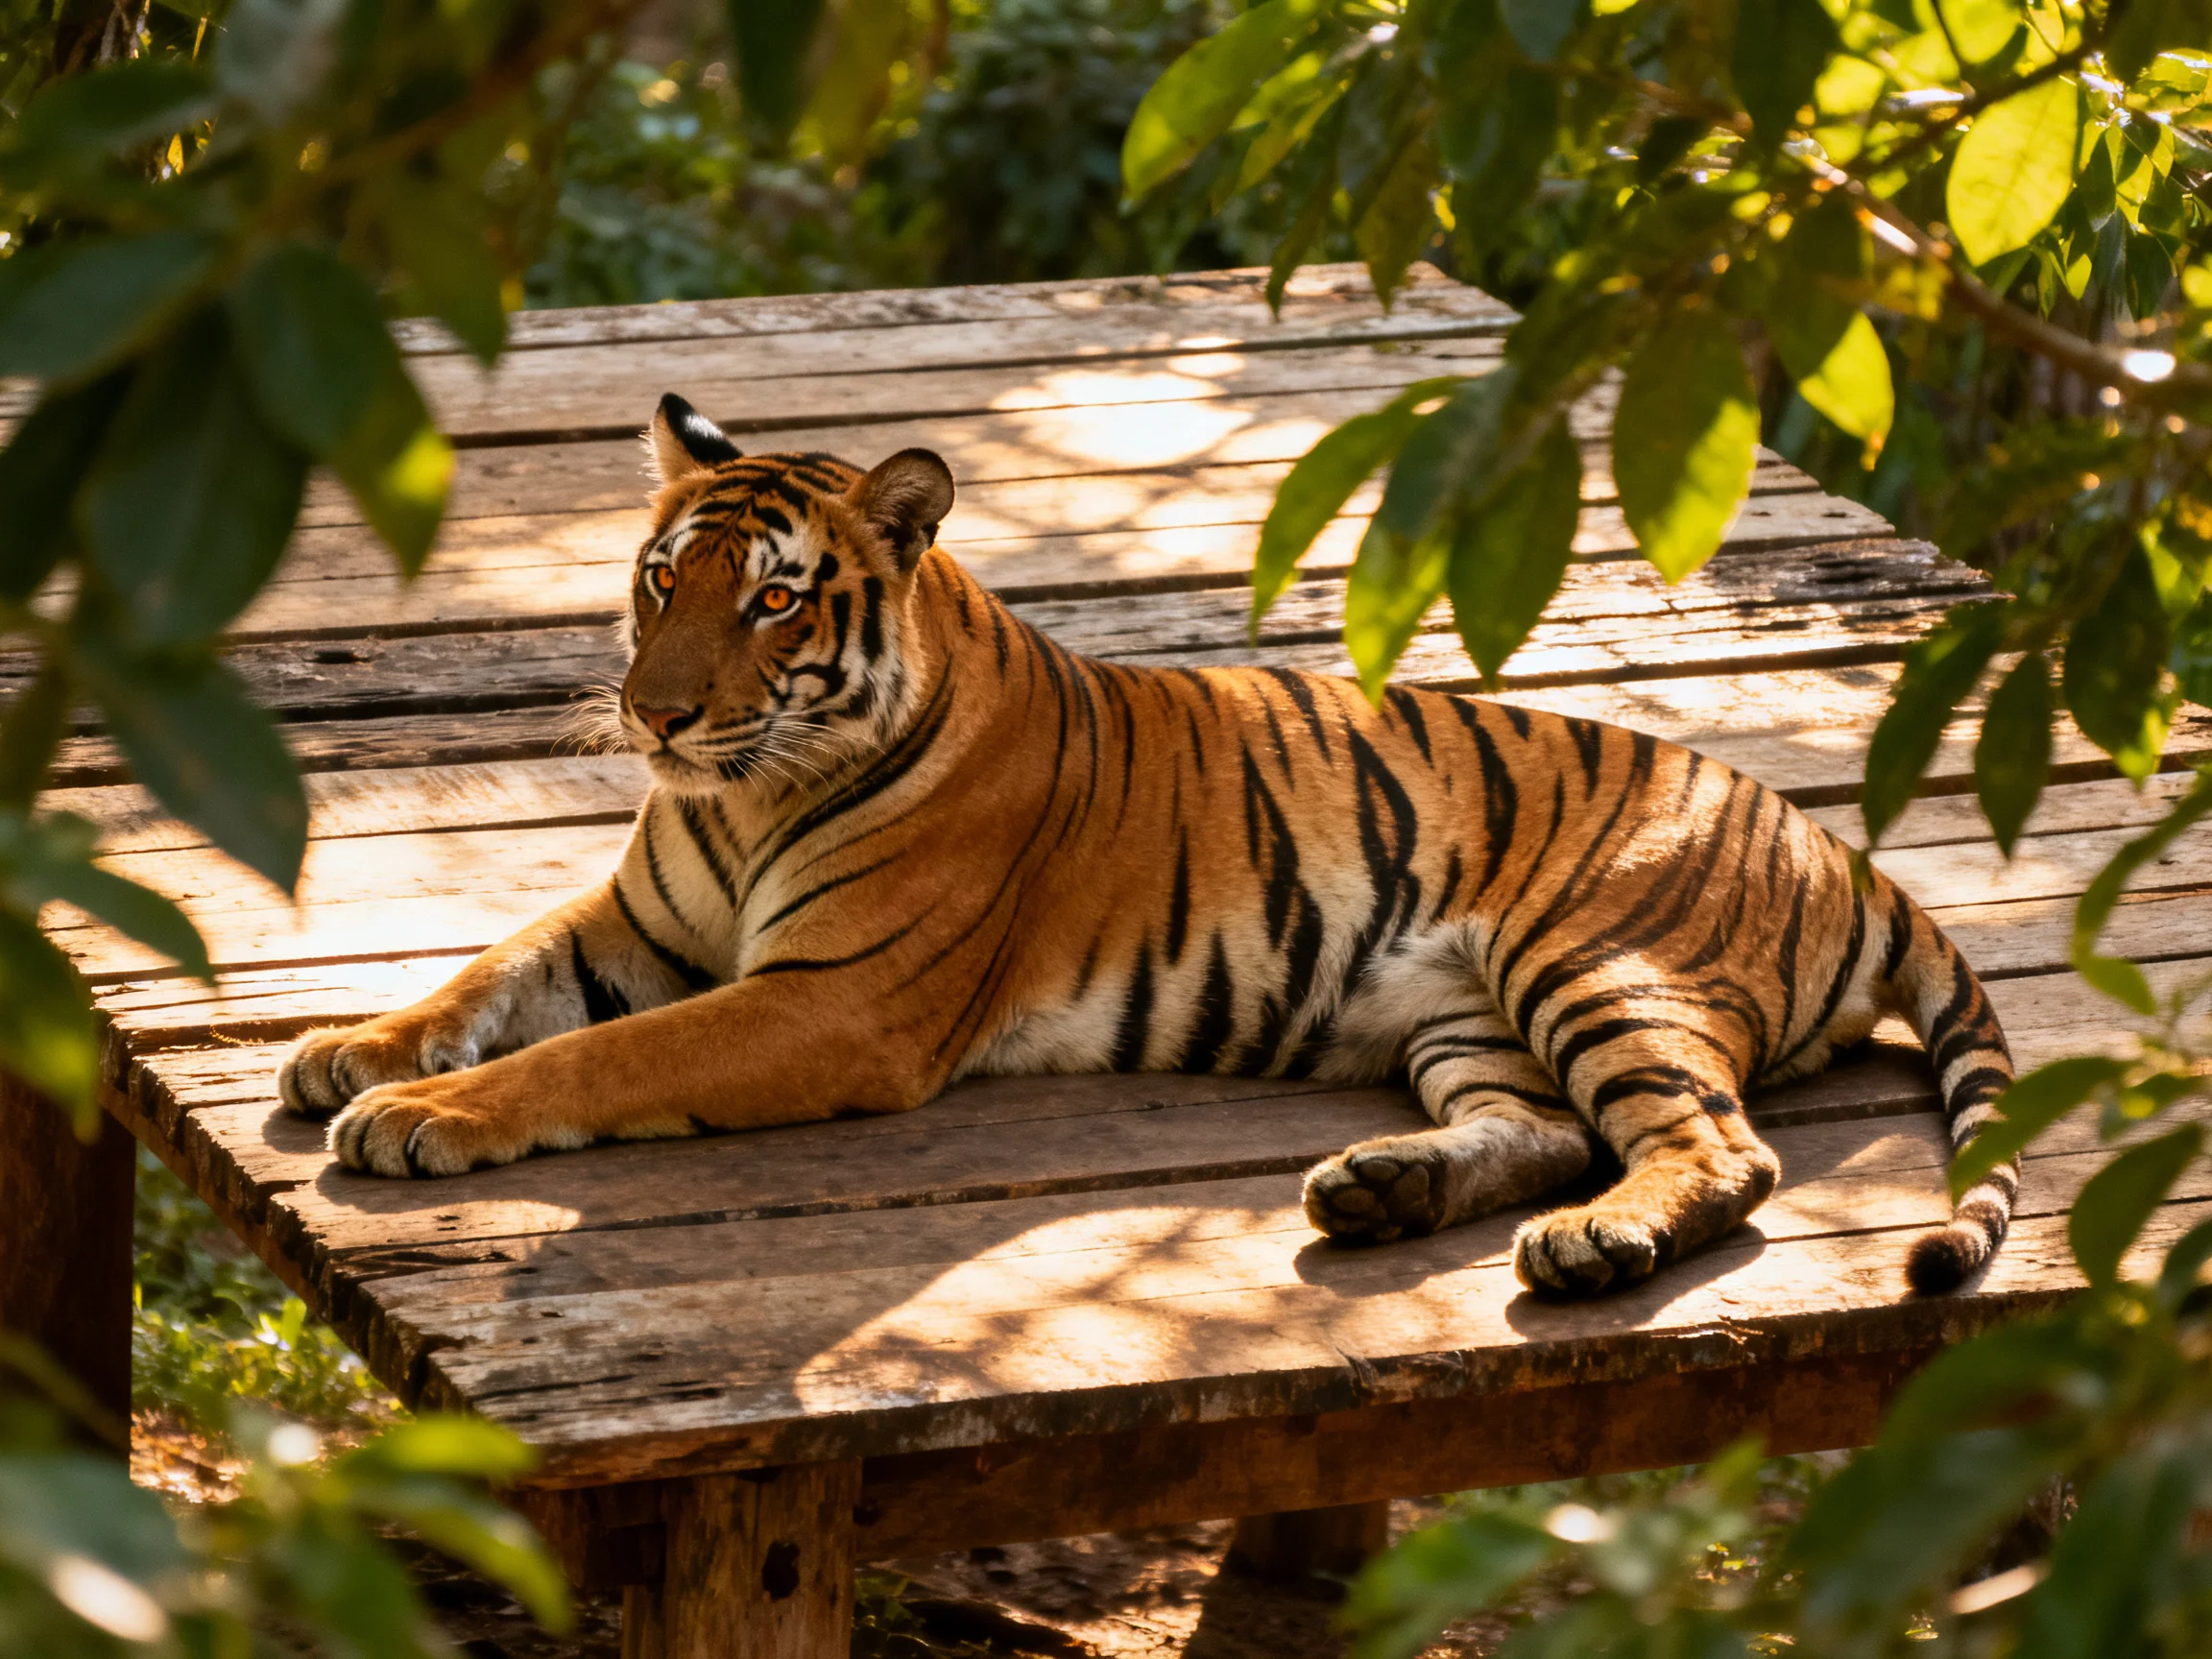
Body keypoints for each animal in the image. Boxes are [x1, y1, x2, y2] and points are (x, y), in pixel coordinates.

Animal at [276, 391, 2018, 1299]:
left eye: (771, 597)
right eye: (658, 579)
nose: (651, 715)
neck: (748, 784)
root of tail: (1835, 846)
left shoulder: (831, 999)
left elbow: (589, 1056)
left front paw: (416, 1115)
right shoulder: (639, 919)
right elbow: (488, 977)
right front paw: (347, 1049)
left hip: (1592, 959)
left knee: (1716, 1150)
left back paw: (1595, 1244)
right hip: (1469, 1017)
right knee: (1539, 1127)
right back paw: (1381, 1190)